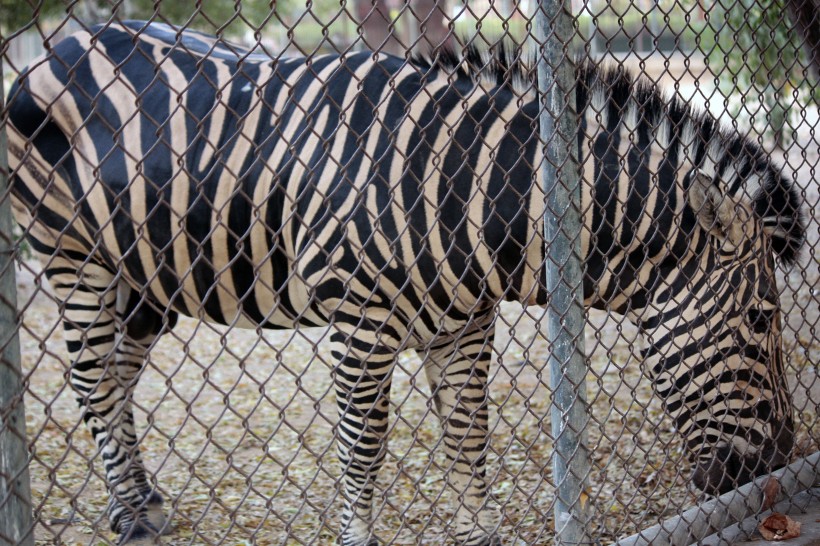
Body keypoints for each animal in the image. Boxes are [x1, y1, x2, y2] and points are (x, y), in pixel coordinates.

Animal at [4, 21, 800, 544]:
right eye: (763, 318)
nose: (781, 459)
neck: (468, 192)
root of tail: (69, 38)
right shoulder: (359, 325)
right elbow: (363, 447)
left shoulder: (464, 328)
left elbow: (468, 440)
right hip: (71, 254)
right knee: (92, 380)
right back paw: (131, 518)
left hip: (148, 277)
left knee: (117, 374)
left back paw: (139, 498)